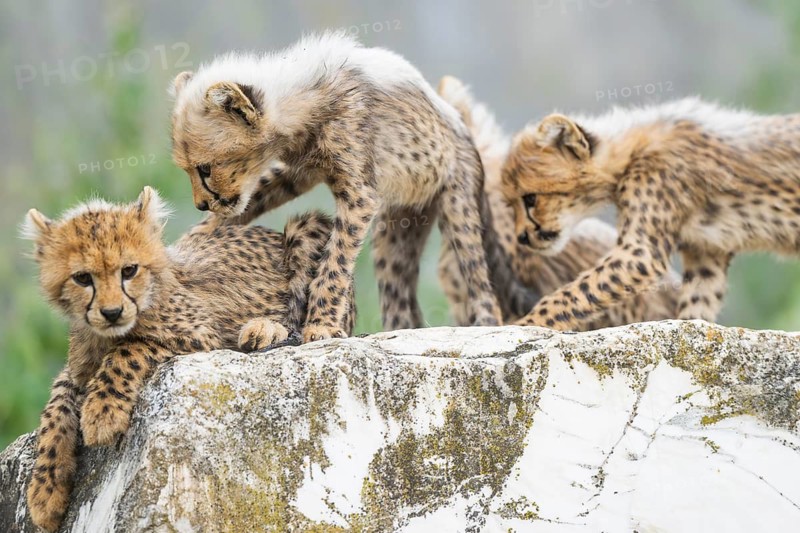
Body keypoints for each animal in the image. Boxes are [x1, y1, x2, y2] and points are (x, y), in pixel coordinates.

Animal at [21, 186, 351, 531]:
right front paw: (45, 493)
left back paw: (264, 329)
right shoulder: (75, 372)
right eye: (83, 278)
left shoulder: (203, 337)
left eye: (129, 270)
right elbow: (55, 408)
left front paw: (102, 415)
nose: (111, 312)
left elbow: (130, 349)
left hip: (307, 230)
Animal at [169, 31, 502, 342]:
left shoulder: (359, 194)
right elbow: (251, 200)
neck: (304, 98)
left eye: (205, 169)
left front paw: (321, 324)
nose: (200, 203)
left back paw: (487, 324)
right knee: (398, 295)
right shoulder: (297, 173)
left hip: (458, 205)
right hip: (396, 230)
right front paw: (190, 239)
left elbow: (336, 260)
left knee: (480, 283)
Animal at [501, 97, 800, 330]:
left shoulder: (640, 253)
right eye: (510, 205)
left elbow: (575, 292)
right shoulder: (706, 254)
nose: (522, 237)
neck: (627, 153)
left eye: (530, 199)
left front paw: (522, 325)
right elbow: (696, 309)